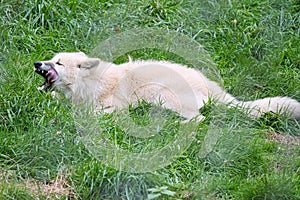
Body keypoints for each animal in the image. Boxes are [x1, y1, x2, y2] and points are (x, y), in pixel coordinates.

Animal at [34, 52, 300, 120]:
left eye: (58, 63)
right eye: (51, 59)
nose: (37, 63)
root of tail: (209, 83)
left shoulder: (116, 106)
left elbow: (94, 112)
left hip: (161, 96)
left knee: (199, 118)